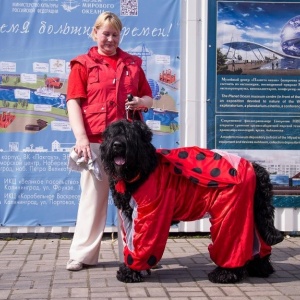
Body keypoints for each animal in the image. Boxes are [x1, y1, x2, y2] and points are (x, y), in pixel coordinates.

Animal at [101, 119, 284, 284]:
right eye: (112, 134)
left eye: (131, 134)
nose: (117, 145)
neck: (143, 169)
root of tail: (254, 166)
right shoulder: (128, 217)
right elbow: (130, 243)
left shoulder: (149, 216)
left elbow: (141, 246)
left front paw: (129, 271)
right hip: (251, 213)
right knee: (259, 244)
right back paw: (260, 268)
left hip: (230, 214)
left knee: (232, 245)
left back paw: (225, 274)